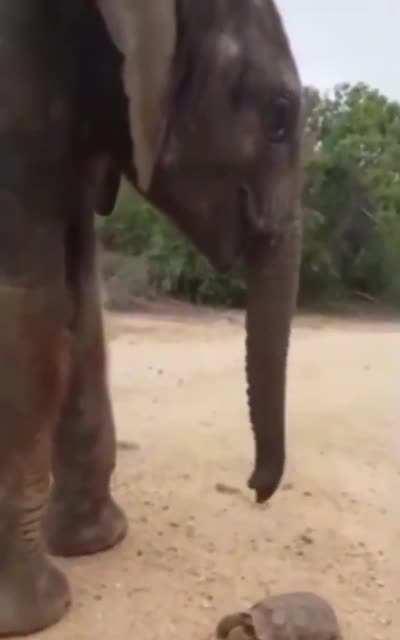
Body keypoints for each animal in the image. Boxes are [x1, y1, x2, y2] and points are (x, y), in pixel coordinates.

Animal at [0, 0, 303, 635]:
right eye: (279, 115)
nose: (255, 490)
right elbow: (27, 300)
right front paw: (35, 615)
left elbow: (78, 297)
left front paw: (94, 545)